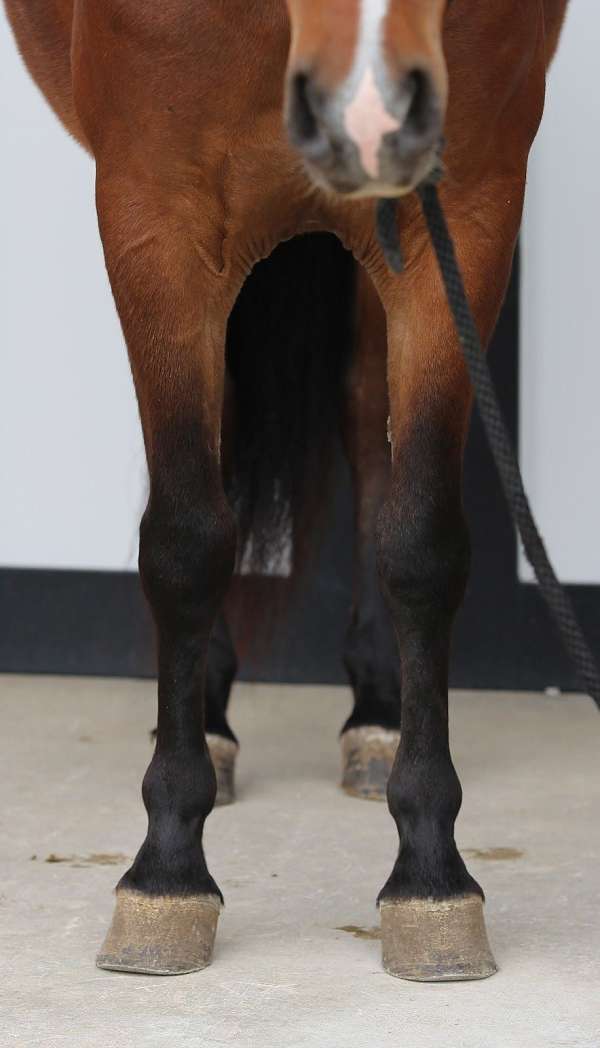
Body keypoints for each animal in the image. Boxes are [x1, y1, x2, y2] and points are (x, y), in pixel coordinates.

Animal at [4, 0, 568, 980]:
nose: (370, 112)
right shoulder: (155, 215)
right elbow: (187, 542)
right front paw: (166, 873)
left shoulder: (464, 212)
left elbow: (423, 546)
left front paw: (430, 876)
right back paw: (209, 722)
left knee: (366, 419)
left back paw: (376, 715)